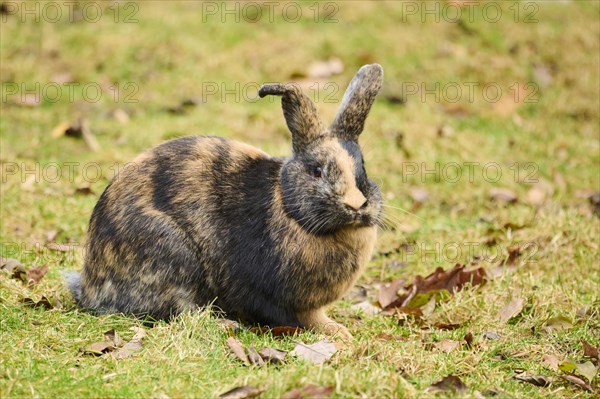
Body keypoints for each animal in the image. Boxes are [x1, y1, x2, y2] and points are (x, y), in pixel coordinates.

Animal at [67, 64, 384, 340]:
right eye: (316, 170)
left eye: (363, 168)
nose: (357, 205)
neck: (289, 209)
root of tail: (90, 286)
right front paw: (338, 332)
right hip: (172, 256)